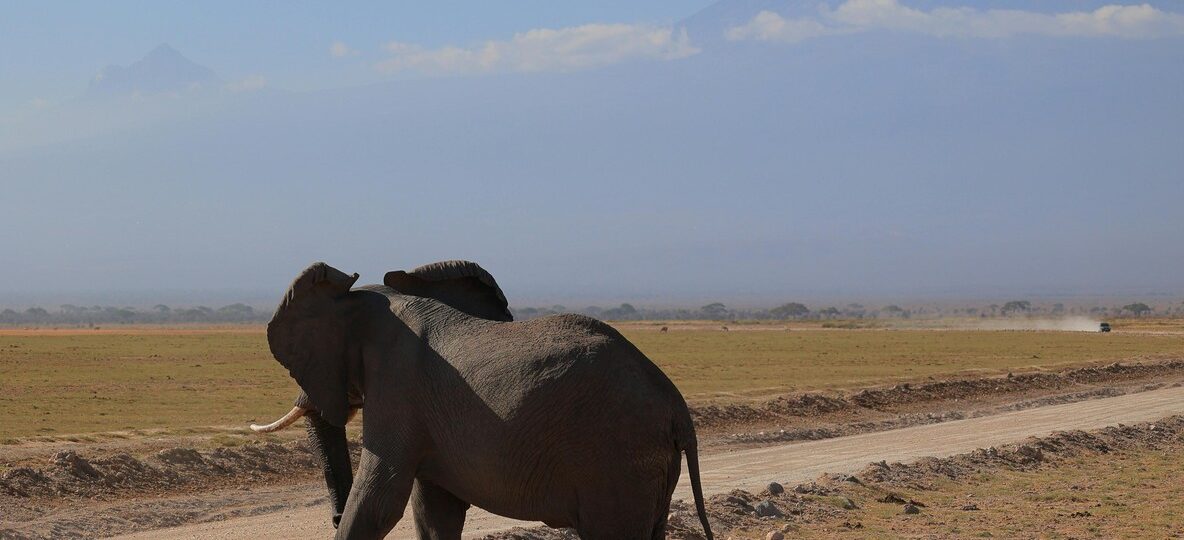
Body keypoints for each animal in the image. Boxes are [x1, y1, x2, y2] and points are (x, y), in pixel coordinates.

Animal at [250, 261, 714, 540]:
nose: (331, 516)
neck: (374, 296)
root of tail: (676, 407)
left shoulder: (397, 385)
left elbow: (380, 497)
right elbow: (435, 511)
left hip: (617, 457)